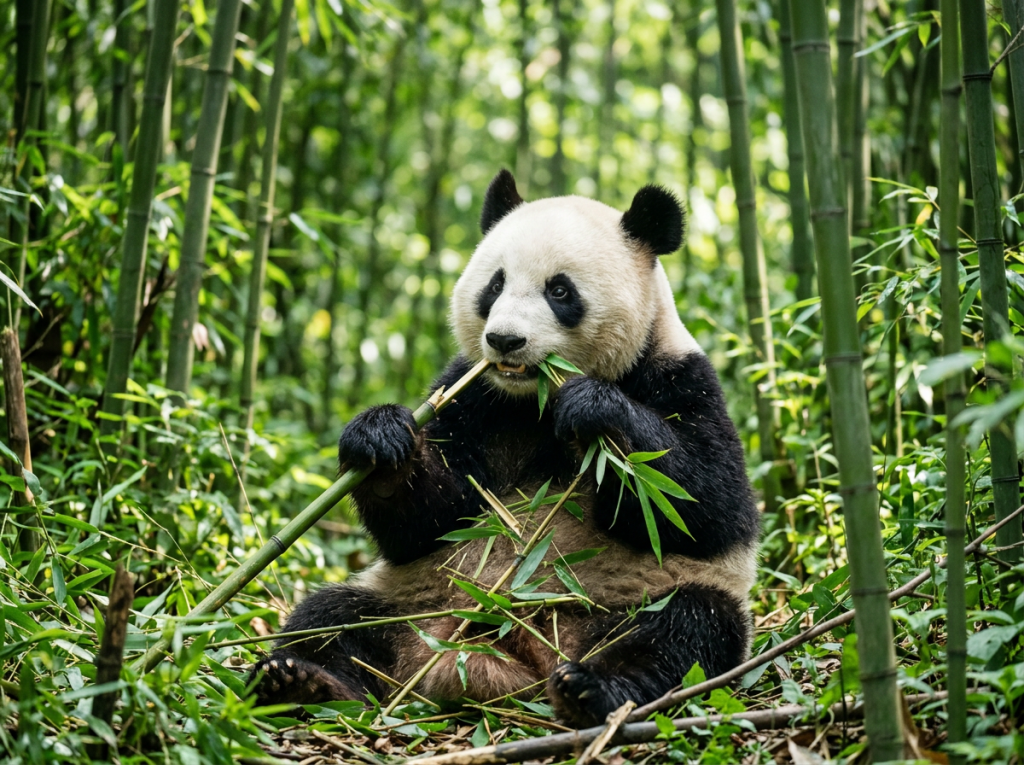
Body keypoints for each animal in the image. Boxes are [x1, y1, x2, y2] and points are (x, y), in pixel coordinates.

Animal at [250, 170, 761, 728]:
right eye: (494, 284)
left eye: (560, 290)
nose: (504, 340)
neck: (532, 401)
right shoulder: (472, 397)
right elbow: (430, 522)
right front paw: (380, 438)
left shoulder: (683, 380)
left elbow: (704, 506)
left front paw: (595, 409)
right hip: (410, 599)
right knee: (331, 619)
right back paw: (303, 681)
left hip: (634, 600)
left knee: (682, 631)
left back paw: (591, 690)